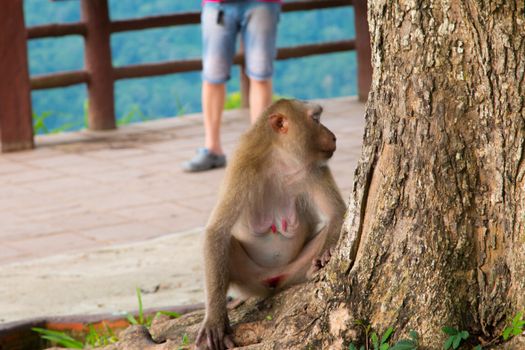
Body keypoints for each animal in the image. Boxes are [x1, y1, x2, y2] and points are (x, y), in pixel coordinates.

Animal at [194, 99, 346, 350]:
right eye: (316, 119)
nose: (333, 136)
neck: (279, 160)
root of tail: (272, 278)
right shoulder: (242, 169)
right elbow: (217, 231)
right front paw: (215, 319)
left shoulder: (314, 168)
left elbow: (337, 213)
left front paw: (325, 254)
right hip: (250, 278)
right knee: (228, 244)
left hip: (291, 271)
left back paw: (310, 270)